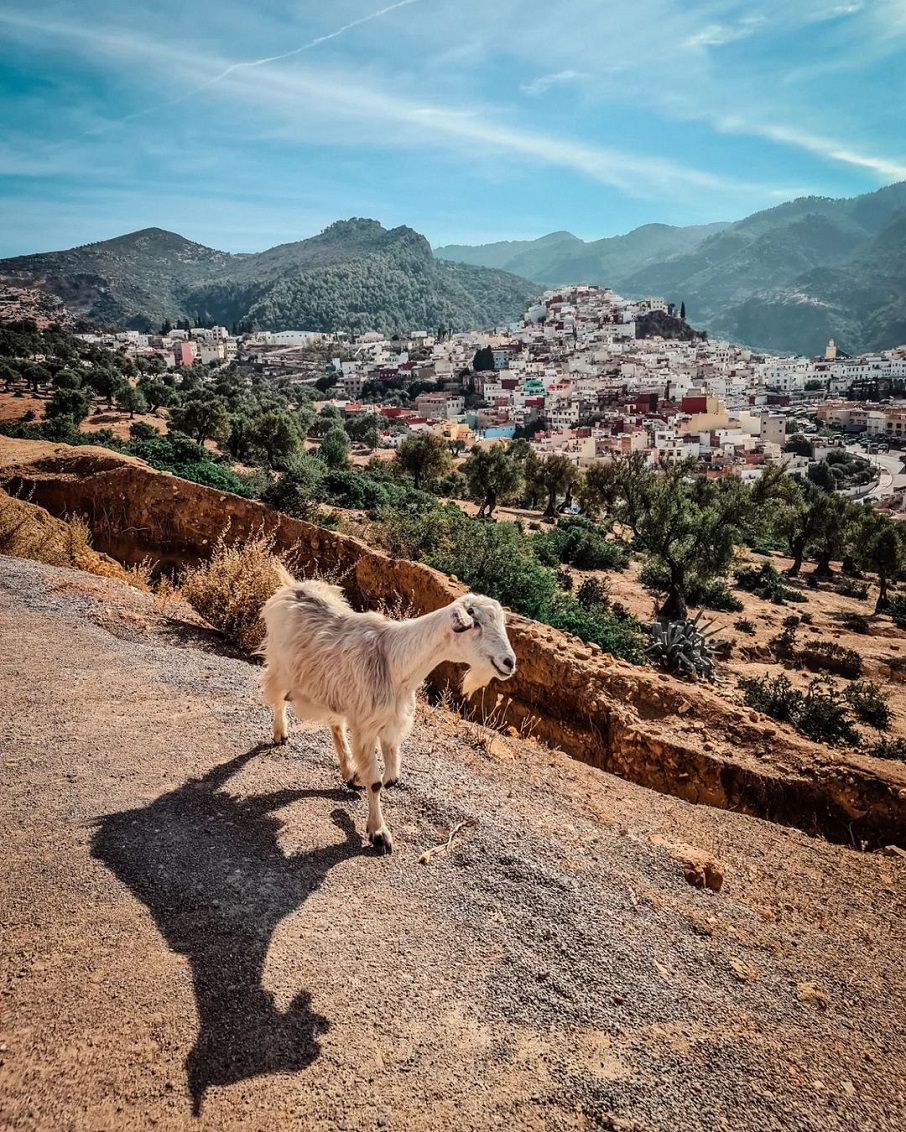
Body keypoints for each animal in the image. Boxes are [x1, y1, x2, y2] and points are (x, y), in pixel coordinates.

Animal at [260, 570, 516, 851]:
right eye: (476, 623)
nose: (509, 662)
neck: (396, 661)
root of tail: (293, 586)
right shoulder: (366, 726)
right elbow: (375, 783)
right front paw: (379, 833)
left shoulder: (390, 722)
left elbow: (390, 775)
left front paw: (373, 786)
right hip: (280, 664)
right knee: (278, 695)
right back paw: (280, 733)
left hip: (333, 689)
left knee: (335, 723)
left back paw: (350, 772)